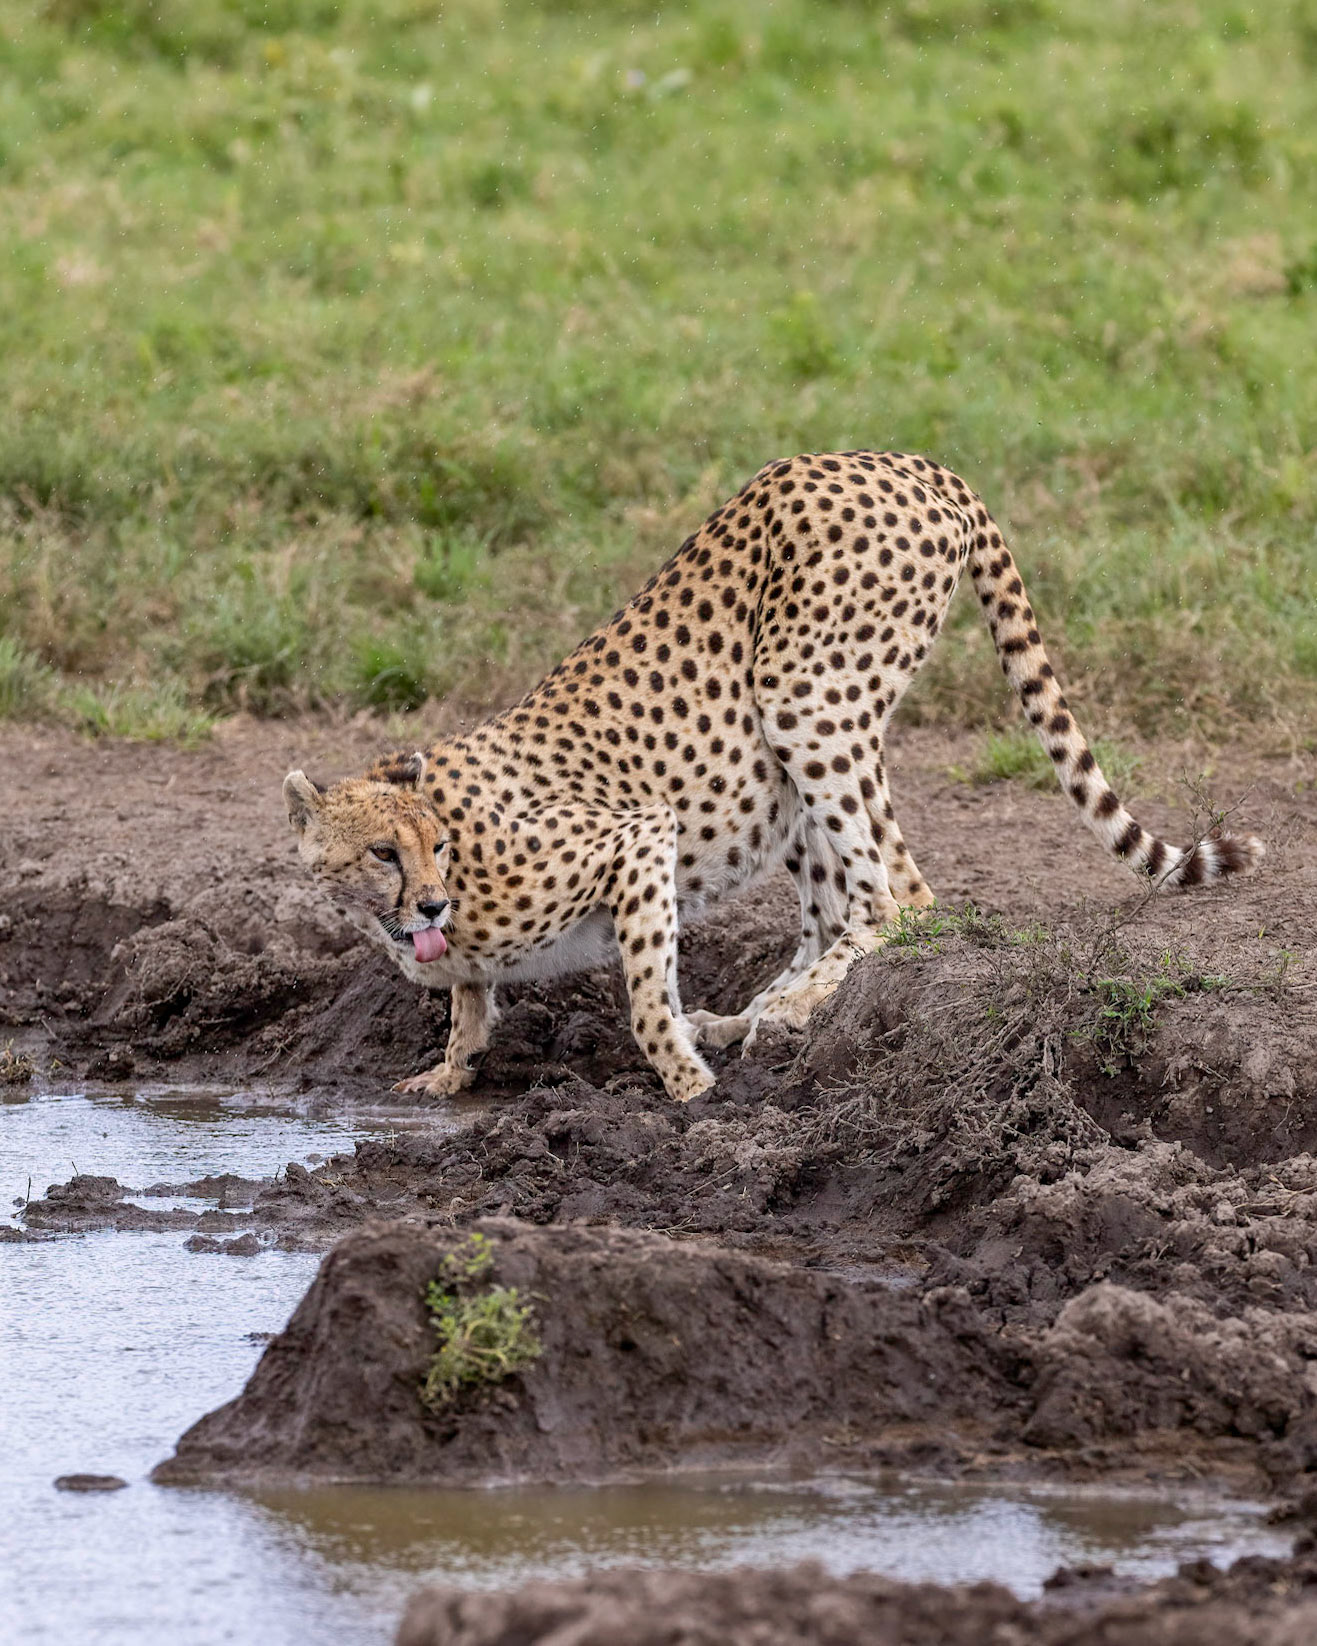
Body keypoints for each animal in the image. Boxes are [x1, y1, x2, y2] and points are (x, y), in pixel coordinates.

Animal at [284, 449, 1264, 1103]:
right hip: (790, 759)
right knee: (858, 902)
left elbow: (644, 995)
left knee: (898, 904)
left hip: (799, 696)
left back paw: (784, 1013)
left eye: (433, 845)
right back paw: (752, 1013)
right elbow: (476, 999)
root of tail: (896, 456)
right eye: (382, 851)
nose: (432, 903)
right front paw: (449, 1072)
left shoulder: (634, 836)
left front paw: (686, 1087)